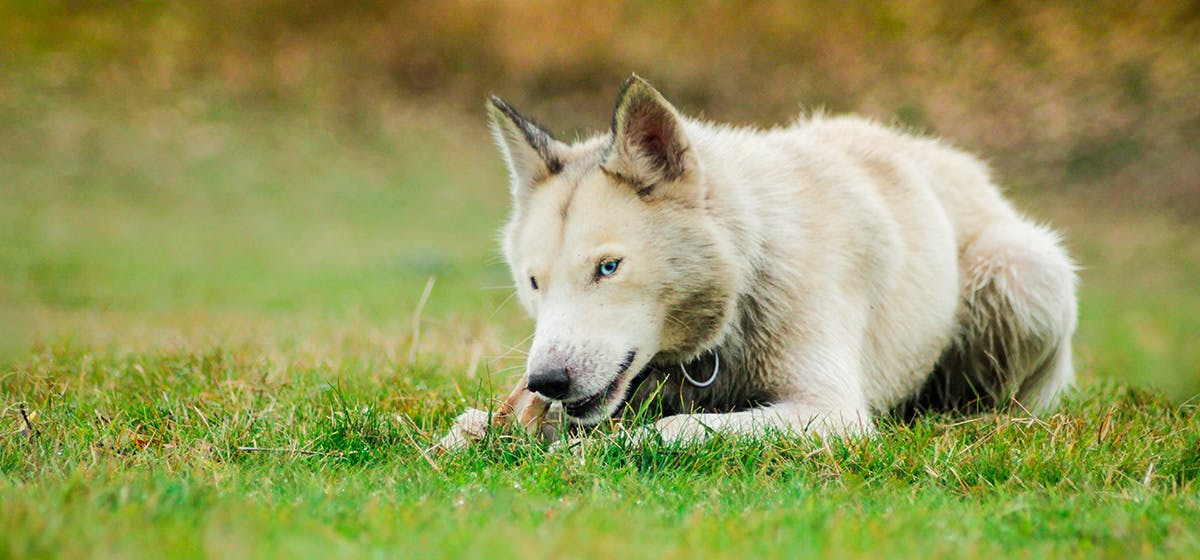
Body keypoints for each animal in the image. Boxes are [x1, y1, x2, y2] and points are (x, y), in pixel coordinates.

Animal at [439, 76, 1080, 448]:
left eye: (608, 268)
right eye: (533, 282)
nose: (546, 381)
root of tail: (962, 164)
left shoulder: (832, 412)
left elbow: (672, 429)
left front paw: (597, 447)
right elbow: (479, 422)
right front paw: (478, 432)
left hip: (1024, 274)